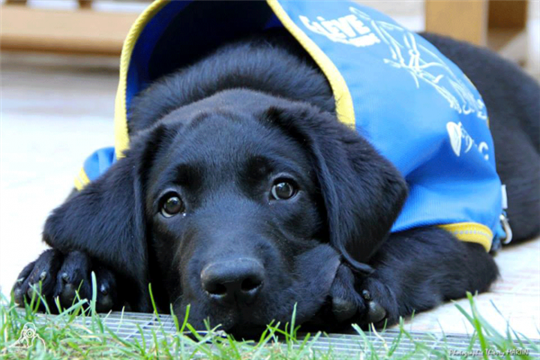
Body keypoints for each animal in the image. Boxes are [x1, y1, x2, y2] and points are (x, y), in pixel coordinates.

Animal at [12, 30, 540, 334]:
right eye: (170, 205)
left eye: (284, 189)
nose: (232, 283)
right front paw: (67, 266)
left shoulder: (461, 234)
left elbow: (405, 247)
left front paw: (351, 280)